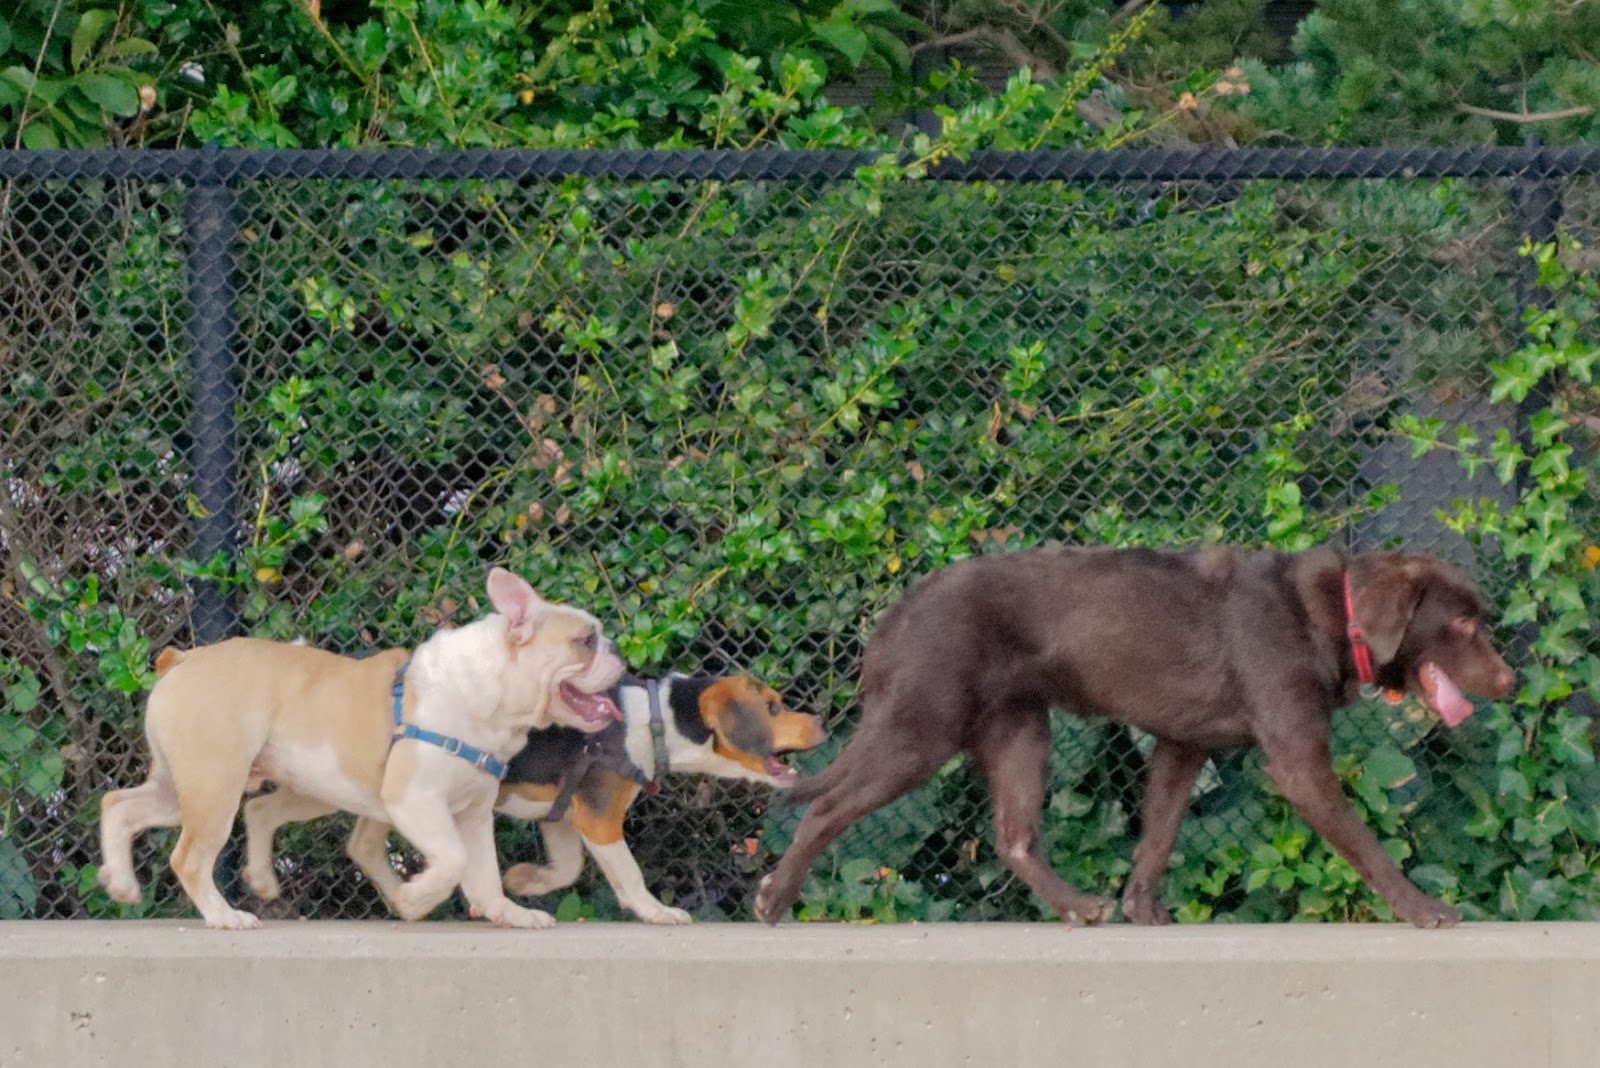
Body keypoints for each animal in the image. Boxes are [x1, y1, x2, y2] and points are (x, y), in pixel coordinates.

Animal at [98, 565, 624, 927]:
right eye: (585, 640)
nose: (616, 648)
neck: (489, 693)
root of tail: (184, 659)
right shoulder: (416, 801)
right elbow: (453, 859)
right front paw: (414, 896)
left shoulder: (473, 816)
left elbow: (485, 872)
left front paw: (509, 912)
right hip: (213, 785)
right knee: (189, 856)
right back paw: (223, 916)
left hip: (213, 787)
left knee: (125, 805)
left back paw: (126, 882)